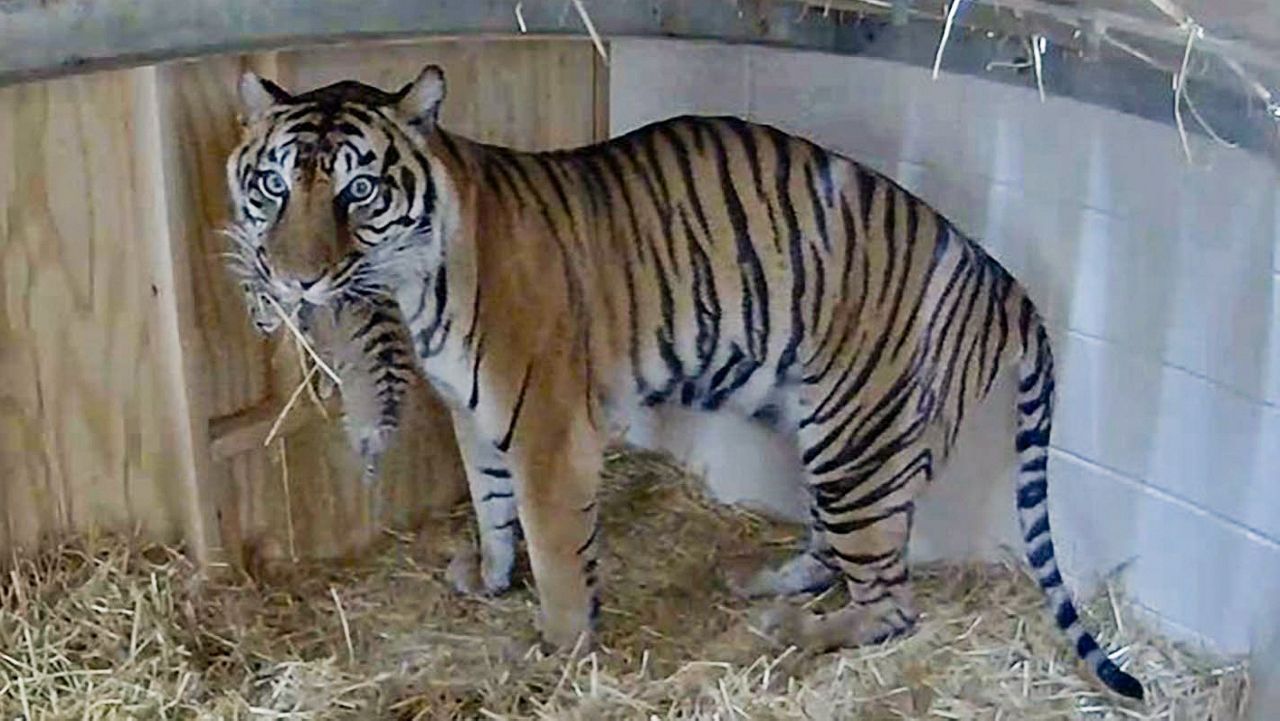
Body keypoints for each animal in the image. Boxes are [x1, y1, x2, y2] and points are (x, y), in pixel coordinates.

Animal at [220, 63, 1141, 701]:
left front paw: (560, 650)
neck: (420, 277)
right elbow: (489, 505)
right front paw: (489, 576)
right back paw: (761, 581)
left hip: (859, 438)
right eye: (274, 184)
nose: (296, 280)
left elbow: (555, 545)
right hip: (834, 438)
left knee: (891, 602)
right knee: (839, 551)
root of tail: (1000, 274)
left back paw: (791, 626)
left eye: (359, 189)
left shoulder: (548, 428)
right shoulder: (474, 414)